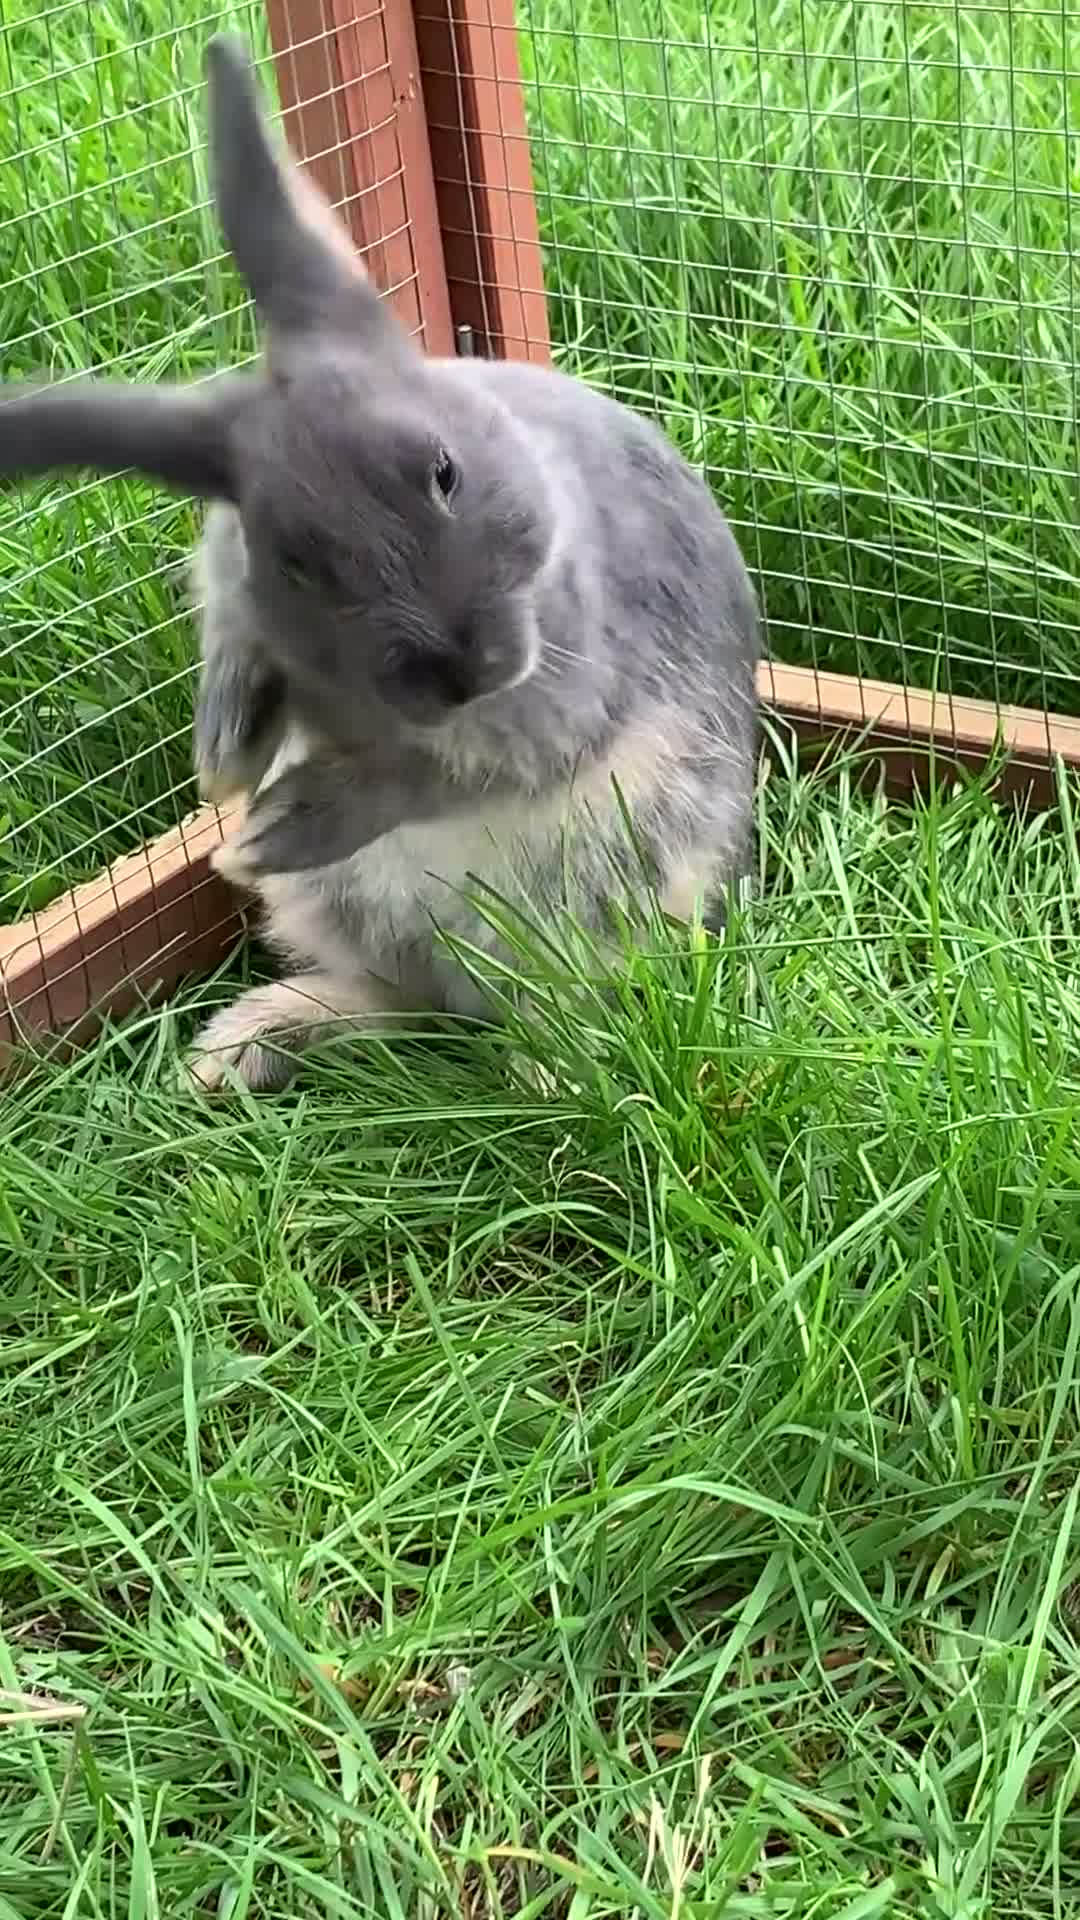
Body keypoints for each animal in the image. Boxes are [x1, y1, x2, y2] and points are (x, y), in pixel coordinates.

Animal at [0, 35, 759, 1093]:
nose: (470, 670)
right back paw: (238, 1051)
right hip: (353, 921)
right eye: (291, 558)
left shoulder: (557, 711)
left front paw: (268, 830)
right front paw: (227, 752)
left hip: (616, 888)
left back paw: (564, 1076)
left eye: (444, 470)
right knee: (401, 1006)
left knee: (541, 1002)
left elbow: (428, 775)